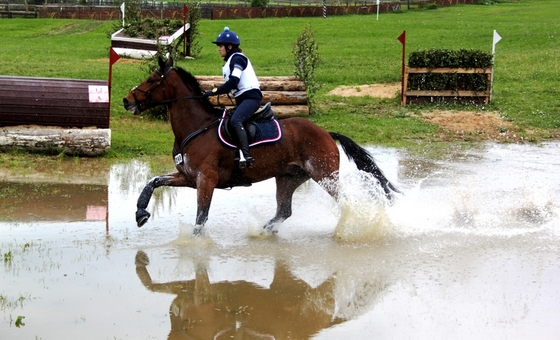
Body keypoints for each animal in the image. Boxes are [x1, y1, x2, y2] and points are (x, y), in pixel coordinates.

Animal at [122, 56, 398, 236]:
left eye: (151, 80)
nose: (126, 100)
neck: (195, 128)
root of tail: (326, 133)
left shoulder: (206, 180)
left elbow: (201, 217)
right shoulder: (188, 177)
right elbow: (153, 181)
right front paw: (140, 213)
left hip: (324, 174)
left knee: (346, 202)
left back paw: (346, 231)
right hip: (288, 177)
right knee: (284, 211)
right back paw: (264, 232)